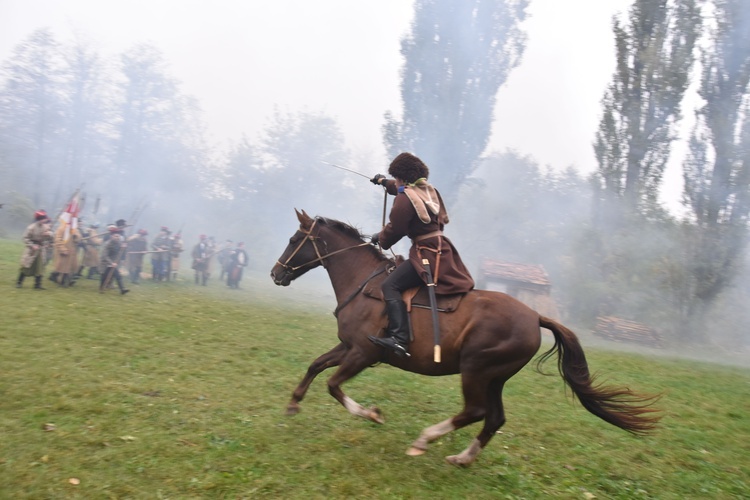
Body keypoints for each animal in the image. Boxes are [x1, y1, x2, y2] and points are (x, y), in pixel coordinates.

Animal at [272, 210, 664, 464]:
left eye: (294, 239)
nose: (276, 273)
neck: (363, 282)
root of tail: (535, 315)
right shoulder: (348, 347)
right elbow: (316, 366)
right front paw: (293, 403)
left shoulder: (363, 355)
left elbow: (334, 385)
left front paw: (370, 414)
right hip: (494, 378)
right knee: (494, 418)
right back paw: (462, 457)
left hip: (477, 370)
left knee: (475, 411)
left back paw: (425, 439)